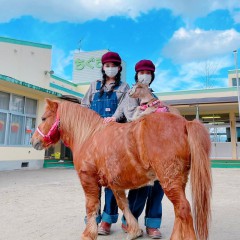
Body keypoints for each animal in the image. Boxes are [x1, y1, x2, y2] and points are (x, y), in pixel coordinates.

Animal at [31, 98, 212, 240]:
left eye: (44, 118)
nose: (33, 141)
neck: (90, 136)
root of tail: (185, 123)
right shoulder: (114, 184)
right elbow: (123, 204)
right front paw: (134, 231)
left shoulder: (88, 179)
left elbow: (91, 206)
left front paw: (88, 234)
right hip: (179, 180)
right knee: (179, 211)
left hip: (169, 181)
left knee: (183, 209)